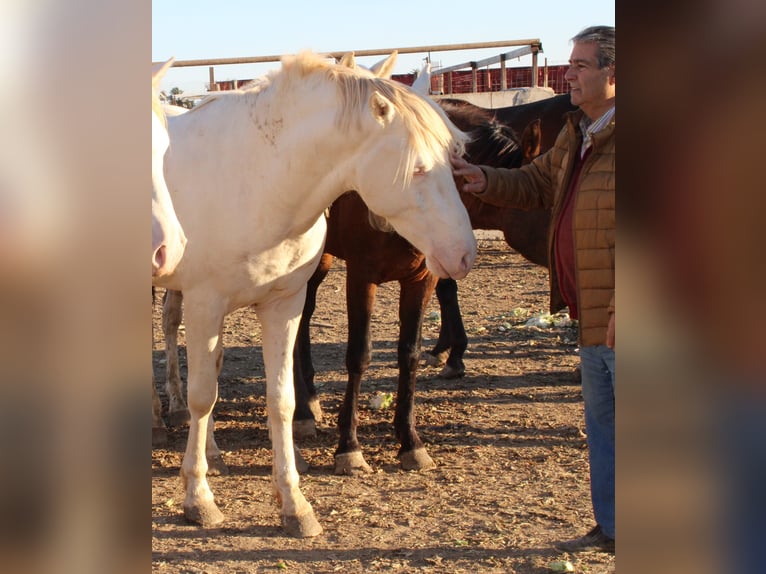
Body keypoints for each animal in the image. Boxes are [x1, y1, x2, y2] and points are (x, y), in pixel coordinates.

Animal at [153, 50, 476, 540]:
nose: (464, 254)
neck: (258, 177)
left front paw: (293, 503)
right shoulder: (206, 303)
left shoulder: (282, 304)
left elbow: (281, 401)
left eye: (456, 160)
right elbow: (203, 396)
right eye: (419, 167)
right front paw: (199, 499)